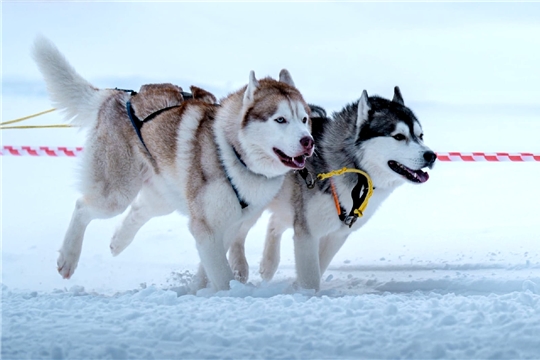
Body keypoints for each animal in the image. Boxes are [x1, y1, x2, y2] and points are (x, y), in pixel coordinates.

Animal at [32, 36, 312, 292]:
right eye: (280, 119)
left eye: (305, 119)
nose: (308, 141)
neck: (234, 154)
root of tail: (119, 97)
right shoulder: (207, 227)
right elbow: (221, 277)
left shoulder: (227, 226)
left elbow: (209, 269)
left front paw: (197, 290)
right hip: (117, 193)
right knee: (83, 206)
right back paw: (68, 258)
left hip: (164, 195)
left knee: (138, 210)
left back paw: (118, 241)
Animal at [250, 88, 438, 292]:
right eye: (399, 136)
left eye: (421, 136)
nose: (431, 155)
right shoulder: (307, 232)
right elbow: (311, 277)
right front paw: (305, 294)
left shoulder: (337, 234)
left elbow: (320, 265)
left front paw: (295, 287)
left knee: (275, 223)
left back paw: (268, 265)